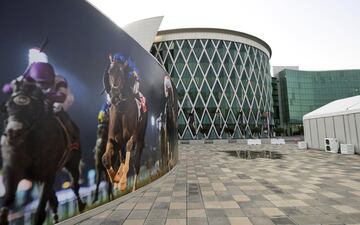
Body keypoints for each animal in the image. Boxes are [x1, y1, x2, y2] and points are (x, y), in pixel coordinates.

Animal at [0, 81, 85, 225]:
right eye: (7, 107)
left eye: (32, 109)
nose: (13, 133)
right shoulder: (14, 168)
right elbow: (9, 197)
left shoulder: (48, 172)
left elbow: (40, 209)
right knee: (53, 197)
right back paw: (56, 215)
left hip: (72, 162)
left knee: (74, 185)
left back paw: (80, 205)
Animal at [101, 59, 148, 192]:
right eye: (109, 72)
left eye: (122, 72)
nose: (115, 92)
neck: (121, 109)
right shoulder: (112, 139)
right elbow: (105, 159)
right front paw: (117, 179)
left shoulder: (133, 135)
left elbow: (129, 145)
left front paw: (121, 181)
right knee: (121, 158)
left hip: (141, 136)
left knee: (137, 164)